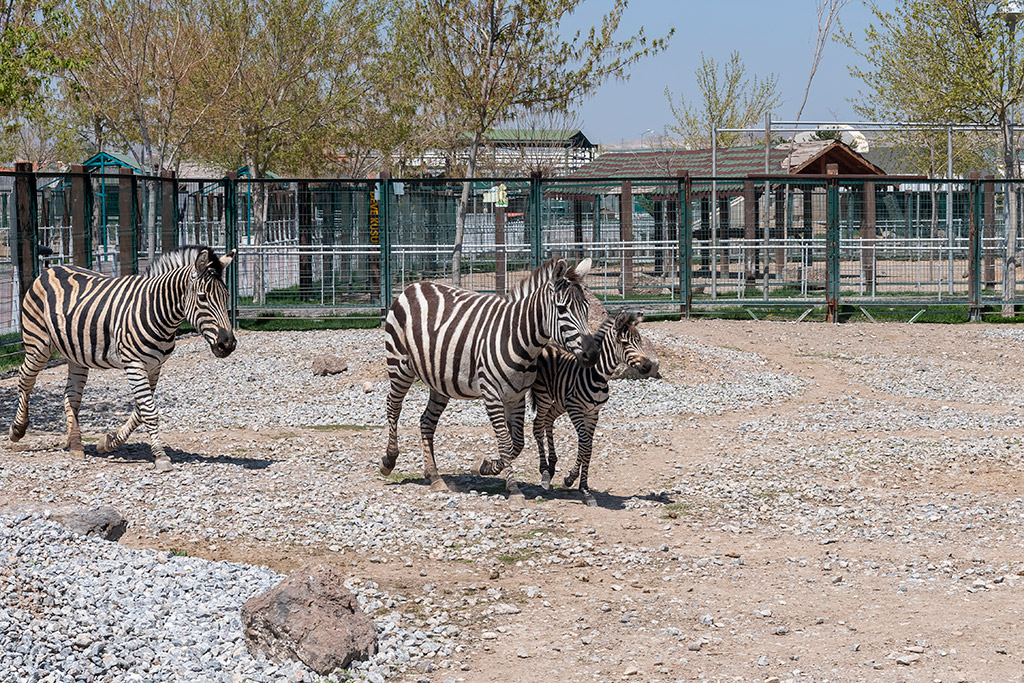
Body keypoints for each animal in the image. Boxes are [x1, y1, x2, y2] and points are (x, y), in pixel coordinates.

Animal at [9, 246, 236, 475]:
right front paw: (161, 457)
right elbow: (149, 411)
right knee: (25, 378)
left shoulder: (154, 366)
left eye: (226, 296)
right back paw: (17, 430)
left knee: (71, 395)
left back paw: (76, 446)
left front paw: (107, 442)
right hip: (38, 343)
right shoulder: (134, 364)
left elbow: (140, 410)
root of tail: (51, 269)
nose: (228, 344)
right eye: (202, 298)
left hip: (76, 354)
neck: (157, 311)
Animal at [380, 259, 598, 499]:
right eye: (562, 309)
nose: (592, 354)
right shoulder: (492, 394)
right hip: (400, 365)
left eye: (587, 308)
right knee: (393, 406)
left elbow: (517, 443)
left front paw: (486, 467)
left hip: (440, 380)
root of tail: (415, 285)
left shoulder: (516, 396)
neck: (518, 338)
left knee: (427, 421)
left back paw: (434, 476)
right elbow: (504, 441)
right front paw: (513, 489)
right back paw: (389, 460)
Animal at [528, 313, 655, 505]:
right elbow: (585, 444)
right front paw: (575, 482)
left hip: (560, 402)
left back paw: (551, 467)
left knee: (548, 420)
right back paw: (544, 472)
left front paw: (581, 486)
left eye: (639, 341)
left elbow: (587, 447)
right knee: (537, 425)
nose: (648, 366)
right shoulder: (575, 409)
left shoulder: (593, 413)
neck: (598, 376)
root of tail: (546, 346)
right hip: (544, 396)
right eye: (625, 343)